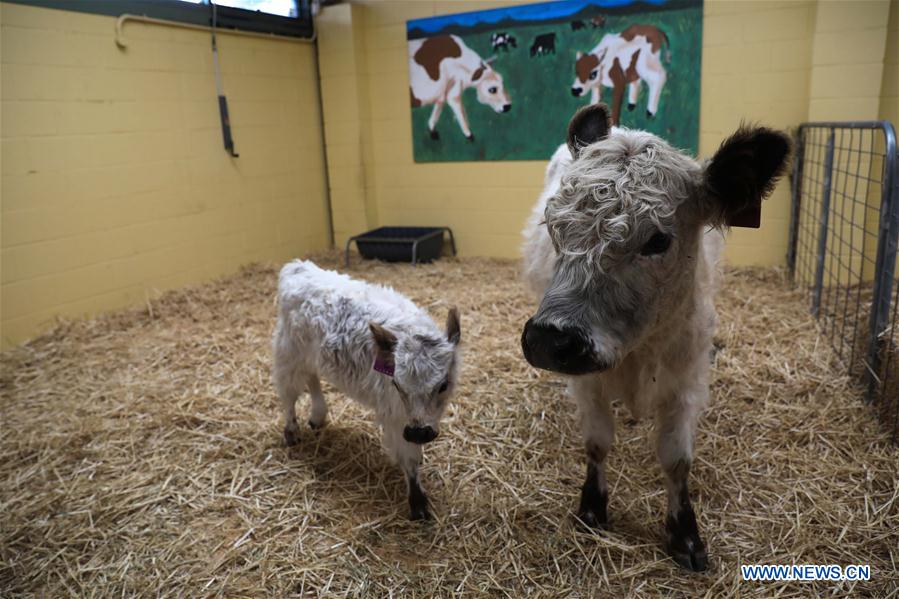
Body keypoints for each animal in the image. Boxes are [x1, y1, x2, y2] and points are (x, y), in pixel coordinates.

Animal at [270, 262, 460, 520]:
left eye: (443, 385)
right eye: (396, 384)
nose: (419, 433)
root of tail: (298, 266)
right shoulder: (396, 417)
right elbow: (409, 459)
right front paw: (418, 503)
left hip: (310, 356)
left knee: (312, 378)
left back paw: (318, 416)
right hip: (288, 354)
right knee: (289, 394)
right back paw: (291, 431)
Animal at [520, 104, 788, 572]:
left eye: (658, 239)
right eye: (553, 225)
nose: (550, 338)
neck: (637, 354)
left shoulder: (686, 381)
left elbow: (676, 460)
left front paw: (685, 535)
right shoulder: (586, 380)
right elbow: (597, 443)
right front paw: (592, 509)